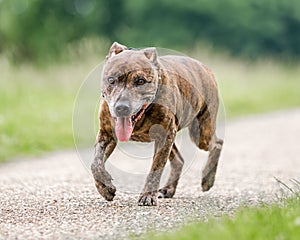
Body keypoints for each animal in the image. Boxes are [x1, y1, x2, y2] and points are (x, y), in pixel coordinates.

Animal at [91, 41, 223, 206]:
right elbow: (95, 163)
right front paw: (105, 187)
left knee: (217, 143)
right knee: (179, 160)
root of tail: (205, 68)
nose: (121, 107)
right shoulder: (107, 134)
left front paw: (147, 195)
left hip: (200, 132)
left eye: (140, 81)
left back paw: (207, 179)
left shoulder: (165, 134)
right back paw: (168, 189)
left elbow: (156, 167)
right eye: (111, 80)